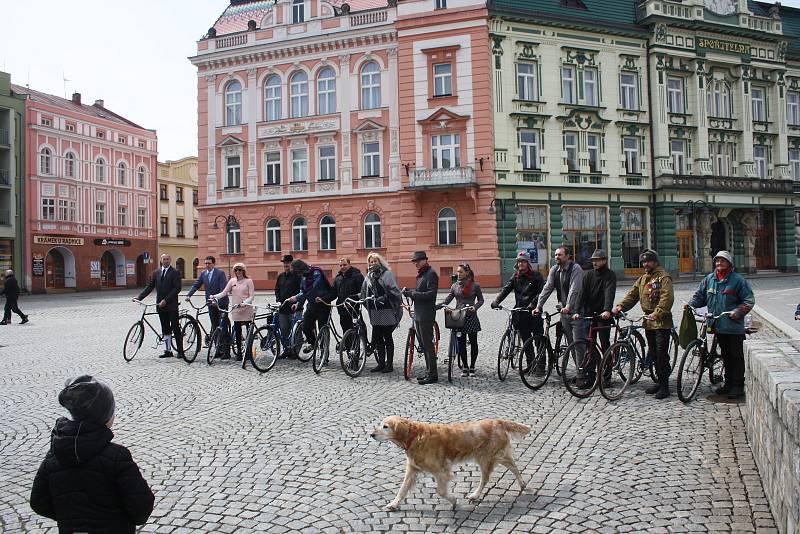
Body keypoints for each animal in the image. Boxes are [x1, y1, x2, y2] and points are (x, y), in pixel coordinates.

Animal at [370, 416, 532, 512]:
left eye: (385, 426)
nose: (371, 434)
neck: (415, 437)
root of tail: (499, 421)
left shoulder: (442, 471)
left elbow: (441, 491)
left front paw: (454, 501)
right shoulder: (412, 469)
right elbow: (402, 489)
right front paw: (394, 504)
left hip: (486, 457)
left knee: (487, 477)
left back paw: (475, 495)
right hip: (493, 456)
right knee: (512, 465)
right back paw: (522, 484)